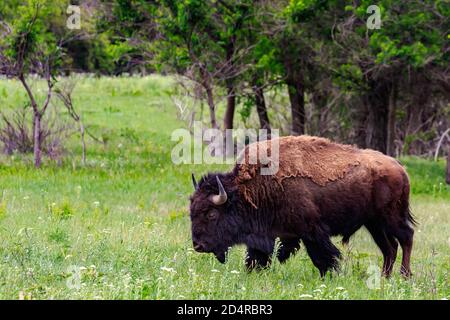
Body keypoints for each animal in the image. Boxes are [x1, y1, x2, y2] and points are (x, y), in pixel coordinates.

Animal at [189, 135, 414, 278]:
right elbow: (257, 257)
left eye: (211, 214)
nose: (198, 246)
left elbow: (323, 257)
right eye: (192, 213)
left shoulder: (312, 232)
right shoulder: (267, 235)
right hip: (374, 224)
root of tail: (399, 167)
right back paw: (385, 278)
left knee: (406, 238)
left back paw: (404, 276)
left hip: (391, 218)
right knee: (389, 248)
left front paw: (330, 275)